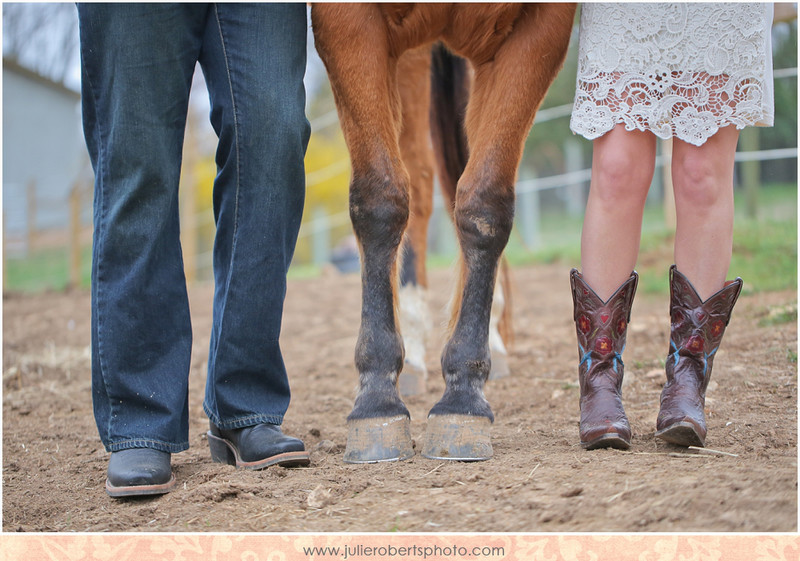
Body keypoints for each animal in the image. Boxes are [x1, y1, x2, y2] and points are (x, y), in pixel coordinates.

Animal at [310, 2, 580, 462]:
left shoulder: (542, 28)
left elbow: (485, 202)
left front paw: (463, 396)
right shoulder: (347, 22)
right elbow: (380, 198)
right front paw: (377, 399)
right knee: (417, 186)